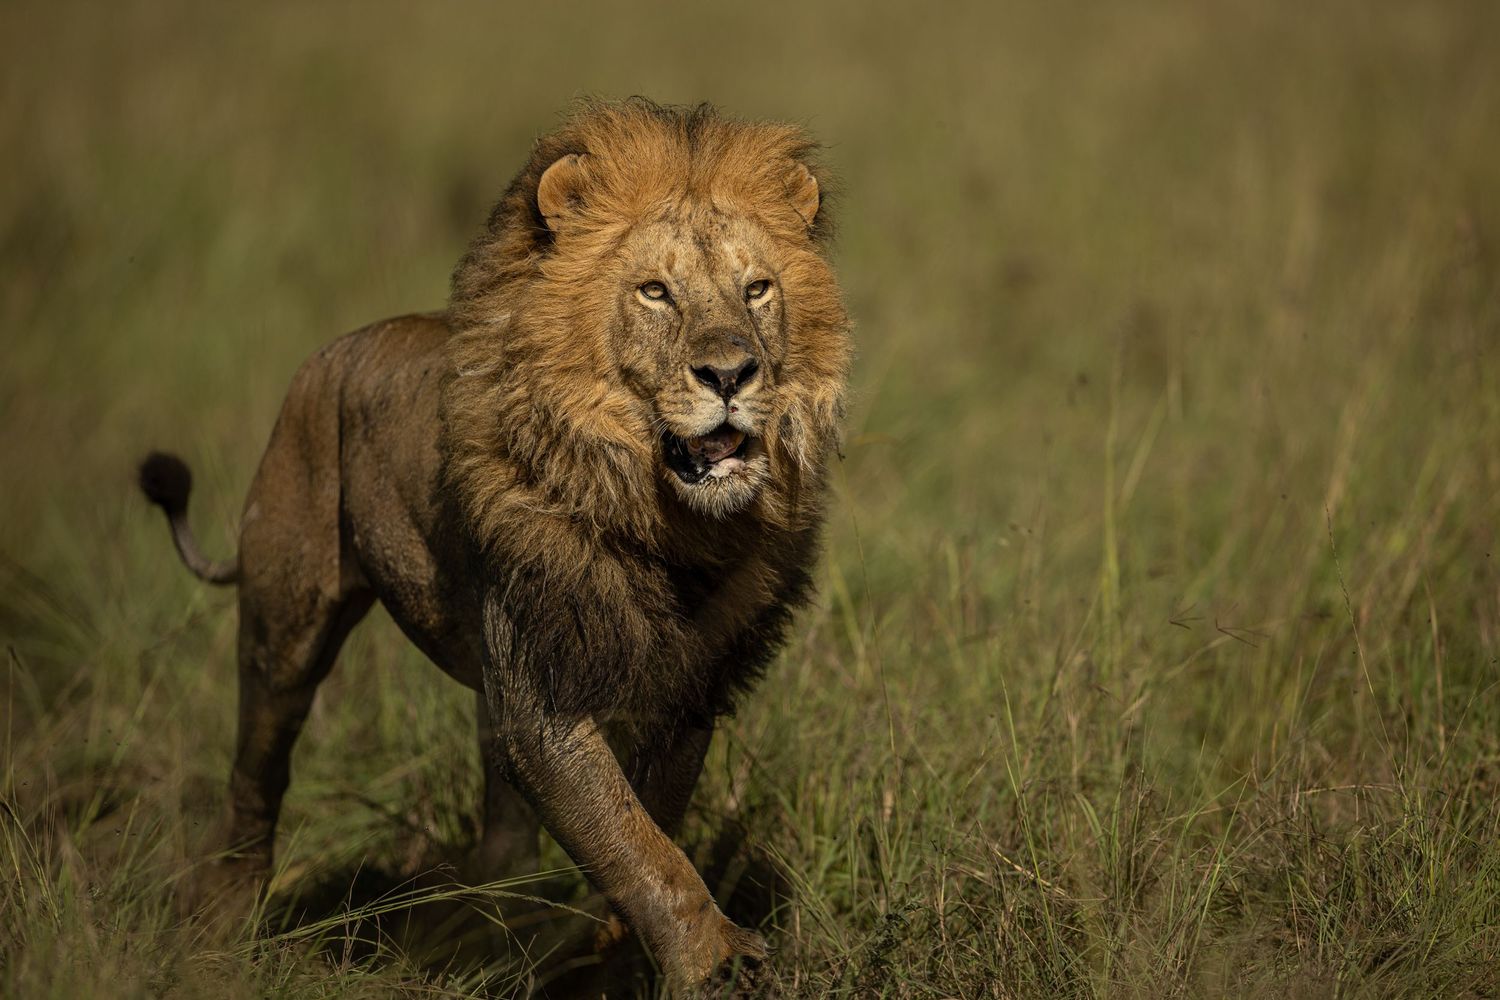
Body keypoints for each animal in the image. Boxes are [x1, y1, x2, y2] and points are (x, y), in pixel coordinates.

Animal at [139, 99, 851, 991]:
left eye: (757, 289)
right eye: (655, 292)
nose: (731, 374)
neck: (661, 518)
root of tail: (330, 353)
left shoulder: (685, 689)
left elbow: (646, 830)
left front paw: (610, 955)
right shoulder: (540, 700)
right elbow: (638, 845)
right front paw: (713, 961)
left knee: (501, 848)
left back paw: (462, 941)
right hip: (285, 620)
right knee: (256, 770)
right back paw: (222, 924)